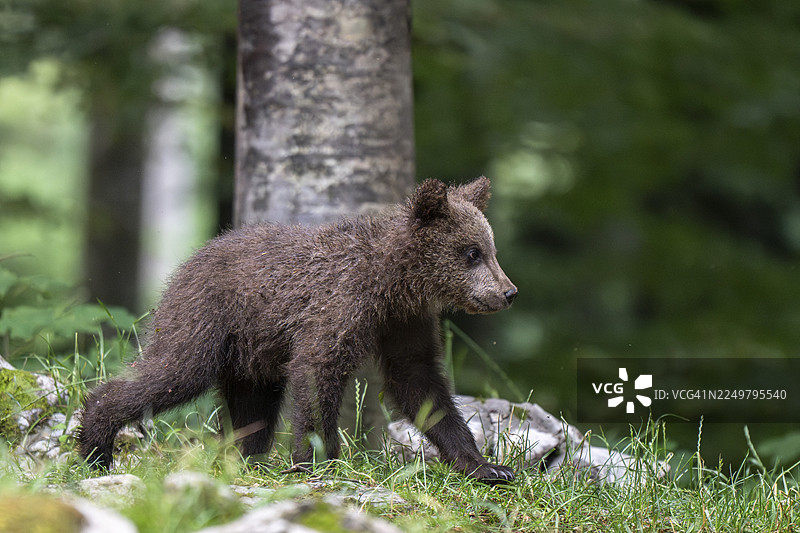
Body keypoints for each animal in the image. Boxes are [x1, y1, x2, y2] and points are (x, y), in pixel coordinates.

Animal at [79, 176, 518, 483]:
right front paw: (319, 459)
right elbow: (317, 373)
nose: (508, 291)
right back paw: (96, 443)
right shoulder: (340, 306)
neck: (392, 284)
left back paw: (245, 458)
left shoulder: (404, 323)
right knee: (174, 371)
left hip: (252, 353)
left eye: (491, 249)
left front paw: (487, 466)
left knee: (252, 409)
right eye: (472, 253)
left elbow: (421, 383)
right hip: (206, 318)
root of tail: (189, 261)